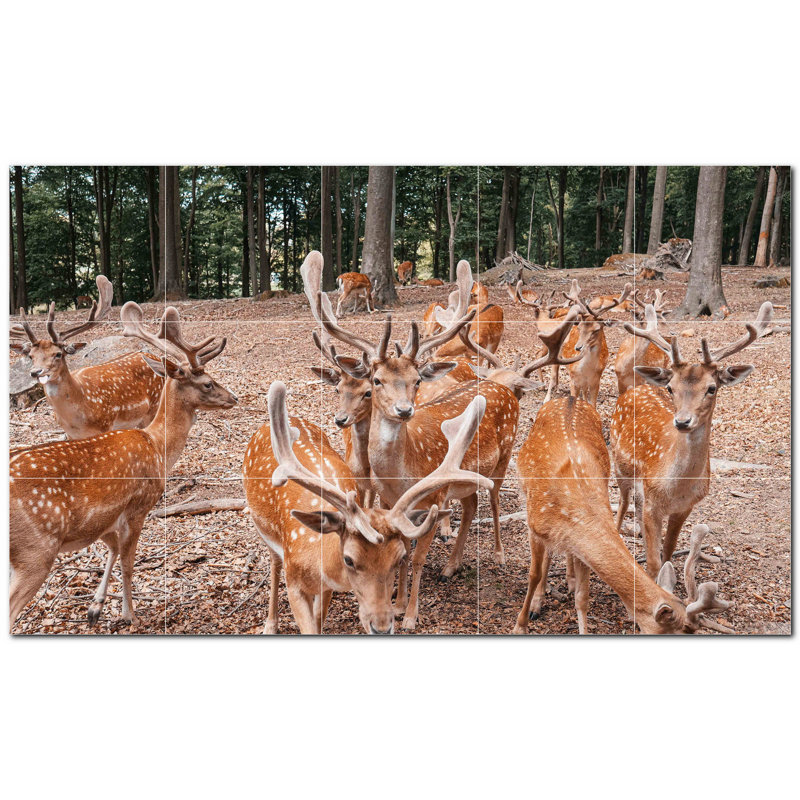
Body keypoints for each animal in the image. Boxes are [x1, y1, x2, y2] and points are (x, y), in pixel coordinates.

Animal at [9, 275, 165, 440]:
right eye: (31, 356)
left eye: (58, 354)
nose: (36, 372)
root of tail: (154, 357)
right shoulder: (70, 434)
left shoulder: (105, 425)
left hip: (153, 408)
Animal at [9, 303, 237, 628]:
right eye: (207, 382)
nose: (233, 397)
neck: (157, 447)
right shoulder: (138, 505)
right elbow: (129, 562)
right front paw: (129, 614)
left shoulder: (103, 520)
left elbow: (114, 549)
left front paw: (96, 607)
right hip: (35, 549)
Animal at [243, 382, 490, 634]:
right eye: (349, 559)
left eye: (399, 558)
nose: (381, 627)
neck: (317, 560)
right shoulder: (294, 583)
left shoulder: (326, 589)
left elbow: (319, 621)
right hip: (264, 531)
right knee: (274, 563)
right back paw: (270, 624)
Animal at [513, 395, 733, 634]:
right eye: (679, 630)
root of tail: (569, 397)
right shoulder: (534, 527)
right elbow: (533, 575)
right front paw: (520, 625)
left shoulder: (579, 543)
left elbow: (582, 597)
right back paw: (537, 604)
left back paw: (569, 580)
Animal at [610, 301, 773, 577]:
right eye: (670, 388)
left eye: (712, 388)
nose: (682, 422)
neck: (676, 488)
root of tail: (635, 388)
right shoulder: (653, 503)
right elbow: (653, 562)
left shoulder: (685, 507)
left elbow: (668, 551)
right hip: (620, 467)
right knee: (622, 503)